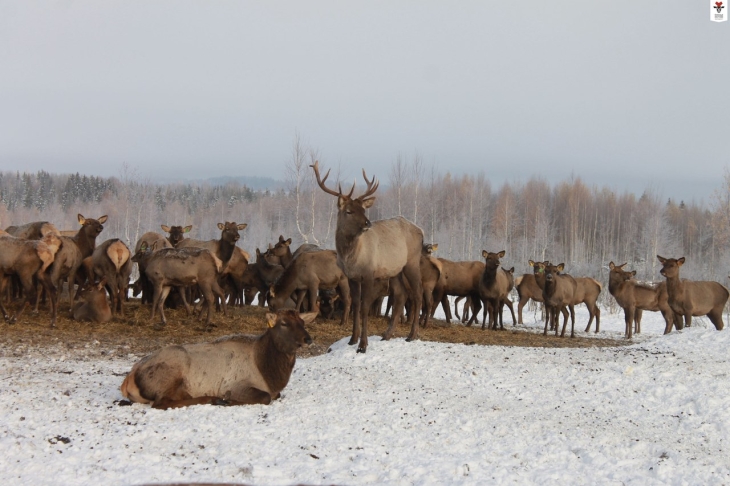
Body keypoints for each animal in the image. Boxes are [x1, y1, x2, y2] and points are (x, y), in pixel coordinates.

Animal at [120, 310, 316, 408]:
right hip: (172, 368)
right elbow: (266, 397)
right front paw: (228, 400)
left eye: (302, 322)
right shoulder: (236, 385)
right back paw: (212, 399)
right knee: (160, 403)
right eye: (284, 323)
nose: (308, 339)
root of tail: (128, 379)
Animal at [312, 161, 424, 352]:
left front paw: (363, 345)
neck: (351, 258)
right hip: (394, 270)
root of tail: (421, 231)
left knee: (417, 294)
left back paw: (412, 335)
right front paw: (352, 339)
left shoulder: (369, 273)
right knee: (401, 295)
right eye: (349, 211)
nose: (367, 223)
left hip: (412, 262)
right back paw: (387, 335)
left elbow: (364, 307)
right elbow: (355, 305)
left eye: (363, 209)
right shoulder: (352, 277)